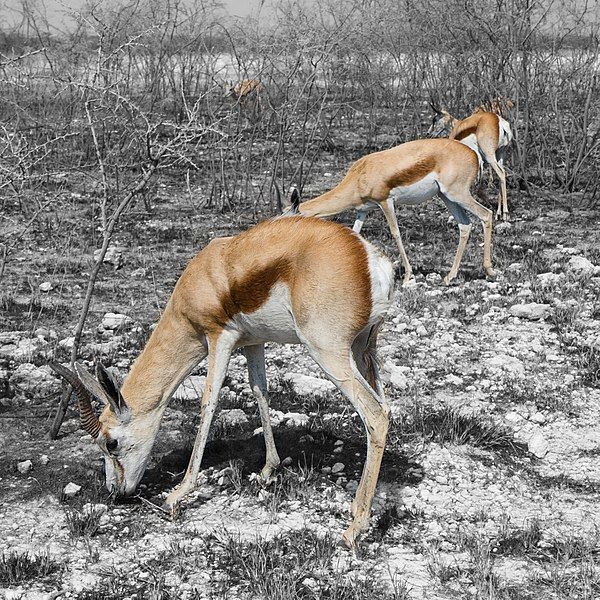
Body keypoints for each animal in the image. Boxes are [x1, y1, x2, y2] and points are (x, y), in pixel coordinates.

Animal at [48, 214, 394, 548]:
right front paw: (267, 470)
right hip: (364, 349)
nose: (115, 491)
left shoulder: (219, 337)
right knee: (385, 406)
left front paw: (177, 495)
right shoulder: (254, 342)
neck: (204, 276)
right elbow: (260, 392)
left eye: (111, 442)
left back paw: (354, 528)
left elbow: (209, 403)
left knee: (375, 414)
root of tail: (367, 256)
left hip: (328, 351)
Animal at [292, 138, 494, 286]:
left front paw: (407, 277)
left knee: (486, 214)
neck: (359, 176)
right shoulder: (363, 211)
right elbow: (354, 233)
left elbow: (395, 233)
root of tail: (473, 154)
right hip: (446, 196)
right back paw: (450, 276)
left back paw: (489, 271)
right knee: (465, 225)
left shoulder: (386, 202)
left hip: (457, 194)